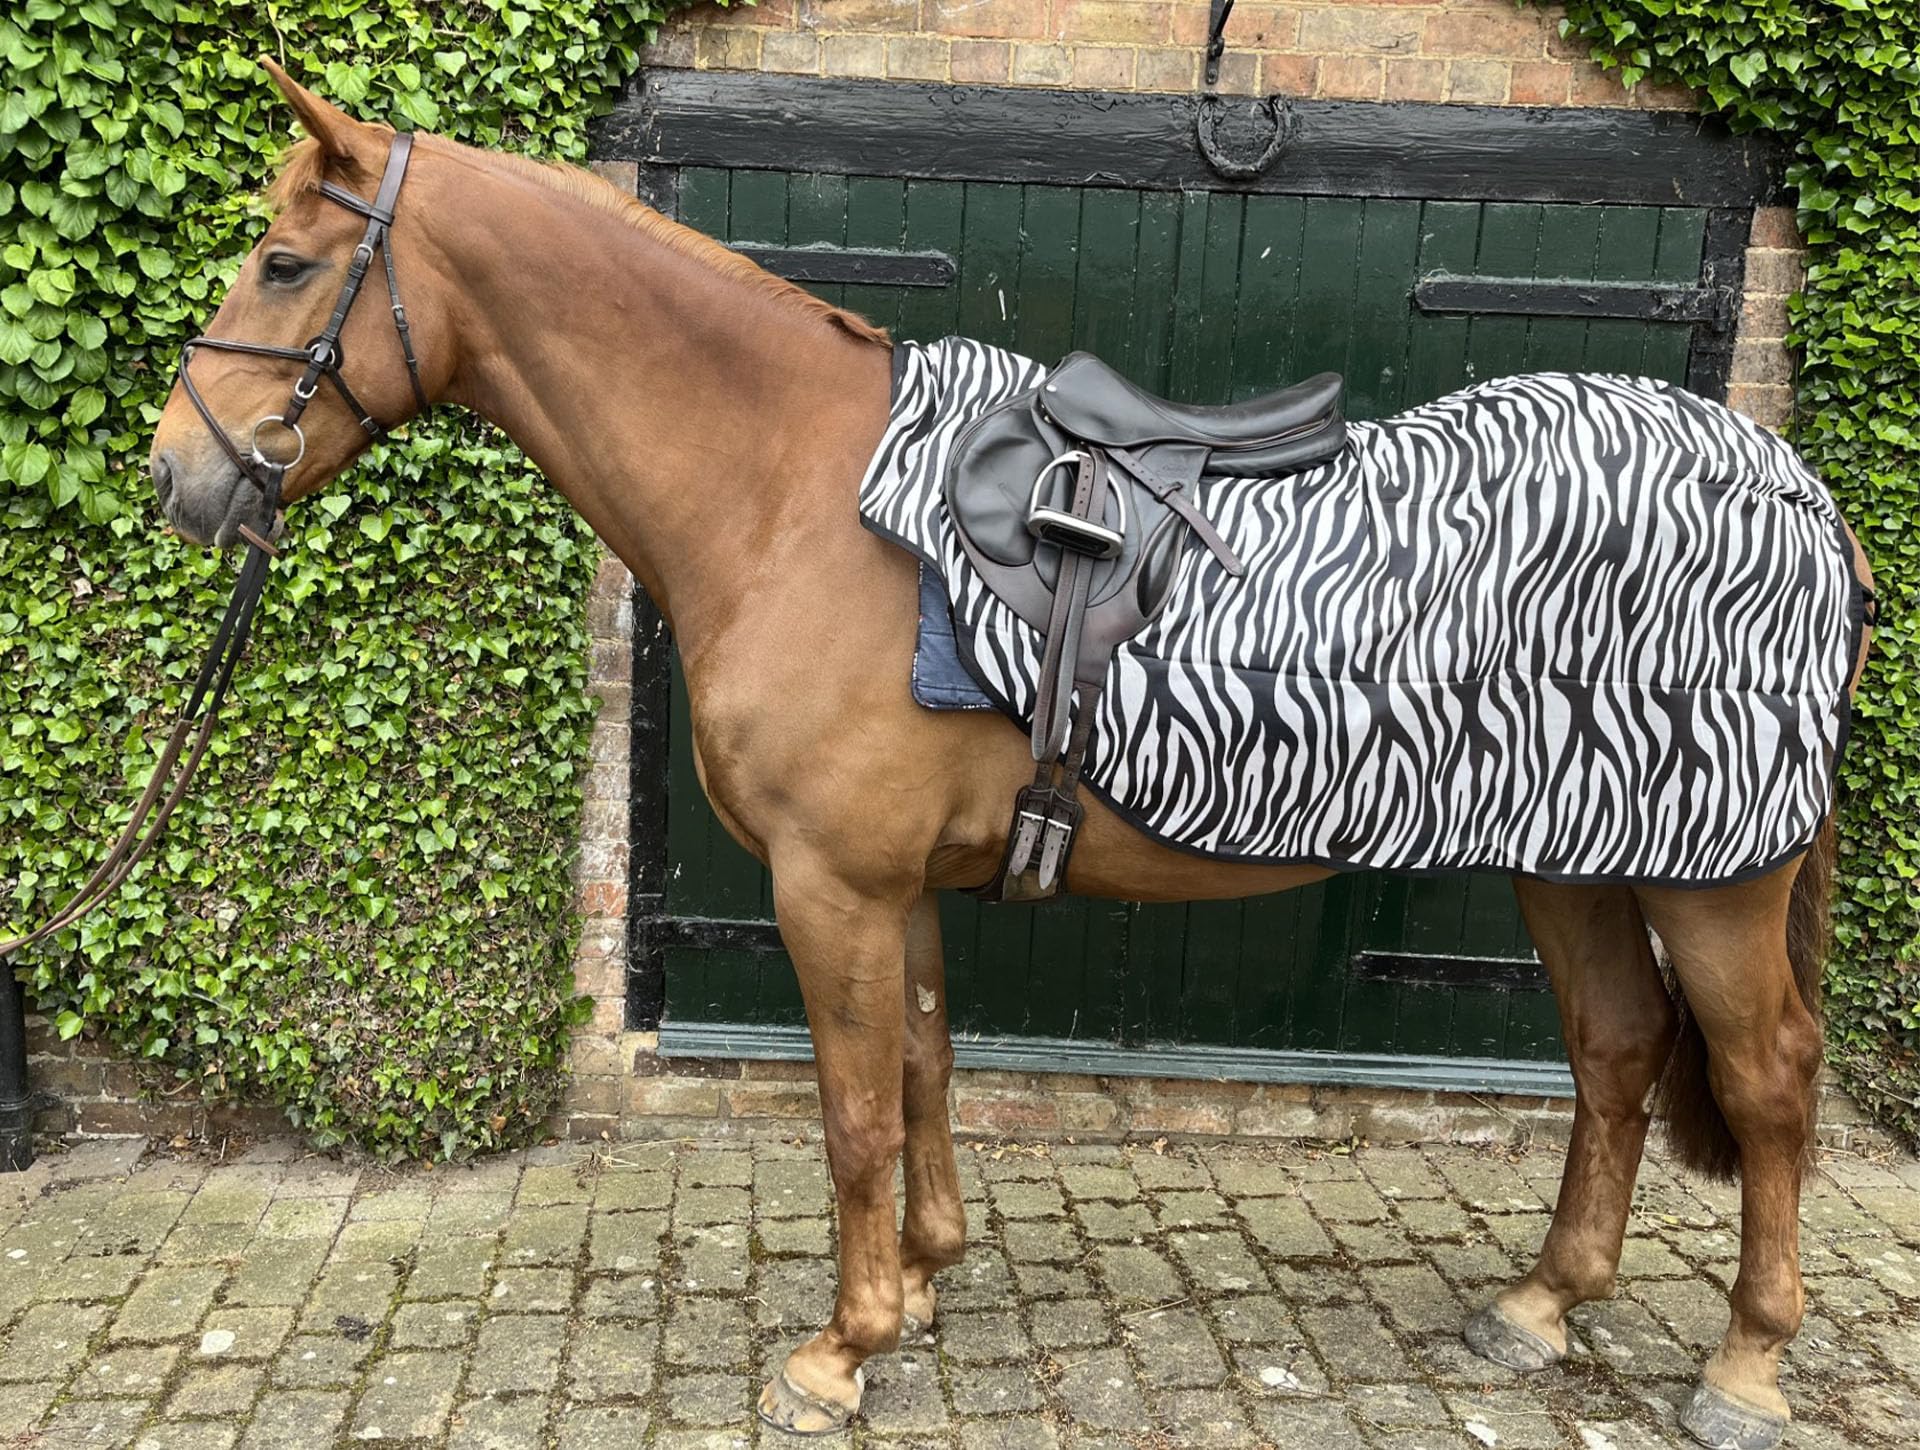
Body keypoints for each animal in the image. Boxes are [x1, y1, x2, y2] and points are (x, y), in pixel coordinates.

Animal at [146, 63, 1875, 1449]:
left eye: (287, 261)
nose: (178, 477)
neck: (796, 494)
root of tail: (1797, 492)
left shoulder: (831, 885)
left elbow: (852, 1111)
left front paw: (837, 1351)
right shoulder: (892, 885)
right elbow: (921, 1067)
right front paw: (919, 1281)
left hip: (1714, 881)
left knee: (1768, 1082)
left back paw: (1746, 1366)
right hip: (1576, 854)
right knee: (1616, 1047)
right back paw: (1539, 1305)